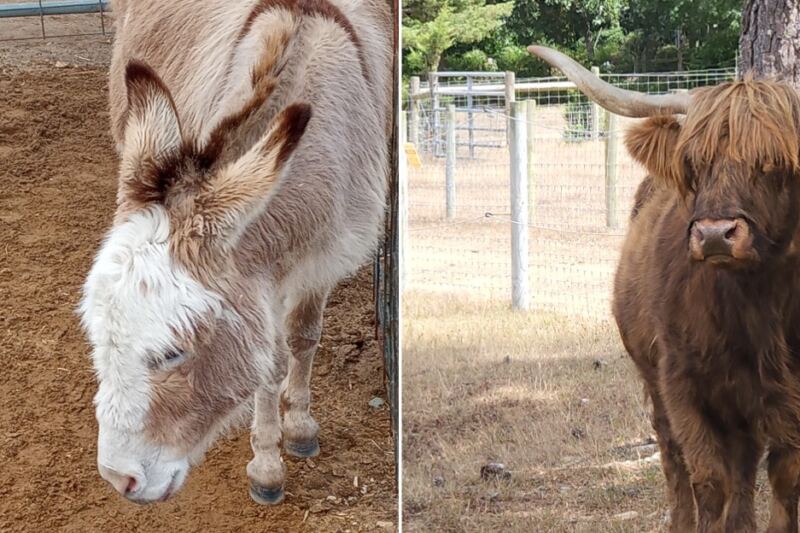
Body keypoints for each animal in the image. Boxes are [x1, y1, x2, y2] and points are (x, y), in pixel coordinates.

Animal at [78, 0, 393, 505]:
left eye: (173, 353)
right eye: (98, 338)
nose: (116, 478)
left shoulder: (324, 257)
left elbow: (303, 338)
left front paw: (298, 428)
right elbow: (270, 363)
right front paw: (267, 464)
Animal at [529, 45, 800, 533]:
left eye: (772, 162)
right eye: (694, 164)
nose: (714, 235)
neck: (758, 307)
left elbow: (784, 481)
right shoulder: (682, 384)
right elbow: (709, 479)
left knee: (744, 464)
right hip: (653, 378)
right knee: (675, 458)